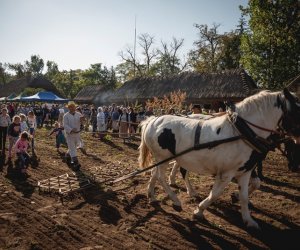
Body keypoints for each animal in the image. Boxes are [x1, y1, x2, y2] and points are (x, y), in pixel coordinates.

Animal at [138, 89, 300, 229]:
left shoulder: (245, 170)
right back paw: (176, 200)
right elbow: (215, 193)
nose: (294, 166)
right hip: (164, 157)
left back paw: (152, 196)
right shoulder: (226, 173)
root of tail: (153, 120)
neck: (242, 132)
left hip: (163, 158)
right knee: (161, 177)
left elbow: (245, 195)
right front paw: (199, 211)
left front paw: (248, 219)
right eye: (296, 110)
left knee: (155, 174)